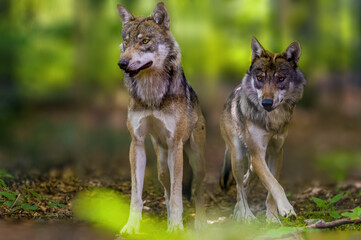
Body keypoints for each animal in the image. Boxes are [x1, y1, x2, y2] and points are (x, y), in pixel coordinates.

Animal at [116, 1, 204, 234]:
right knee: (166, 189)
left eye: (145, 41)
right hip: (162, 168)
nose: (122, 63)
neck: (151, 94)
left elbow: (177, 196)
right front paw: (132, 226)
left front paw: (176, 227)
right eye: (126, 42)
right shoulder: (136, 143)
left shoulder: (176, 145)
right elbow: (137, 196)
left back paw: (201, 223)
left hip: (196, 160)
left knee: (198, 191)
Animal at [218, 36, 306, 222]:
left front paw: (272, 218)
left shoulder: (276, 153)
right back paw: (246, 215)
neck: (272, 120)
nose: (266, 102)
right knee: (239, 186)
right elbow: (275, 185)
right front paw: (287, 209)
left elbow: (272, 187)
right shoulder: (258, 153)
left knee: (245, 181)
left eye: (281, 79)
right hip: (238, 156)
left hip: (253, 161)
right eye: (259, 78)